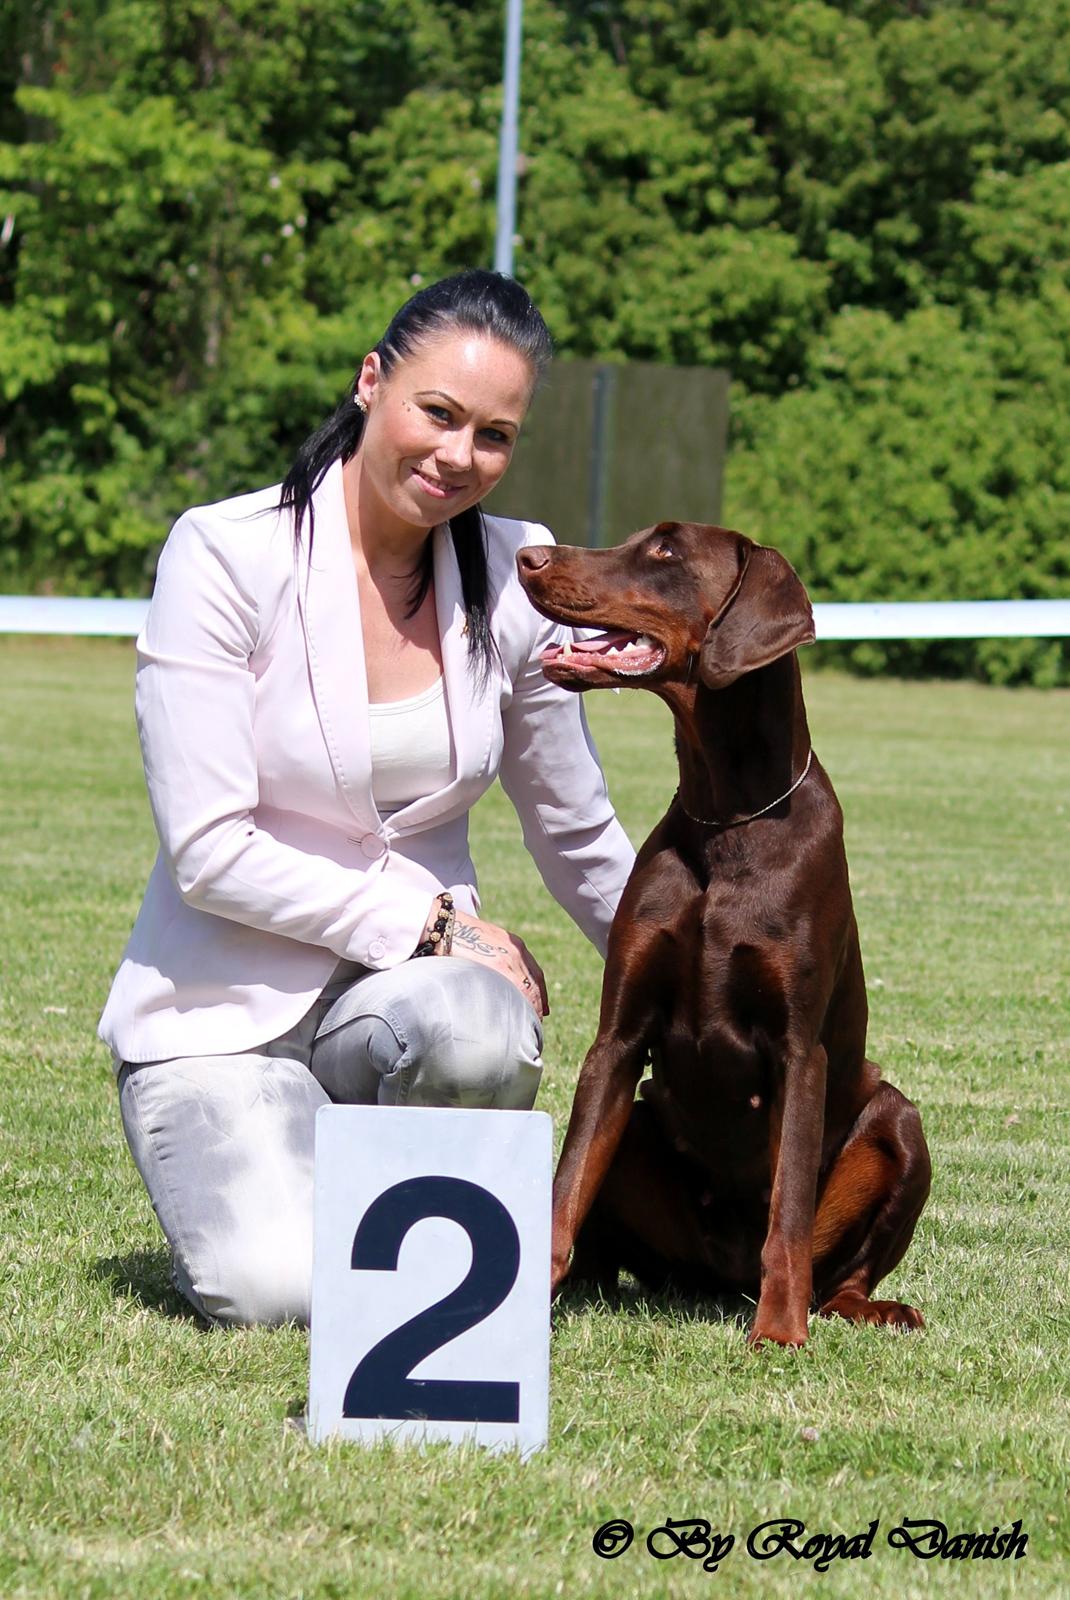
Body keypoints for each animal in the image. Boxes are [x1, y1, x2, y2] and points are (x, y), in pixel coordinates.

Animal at [515, 528, 927, 1350]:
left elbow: (788, 1210)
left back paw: (865, 1308)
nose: (529, 558)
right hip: (644, 1127)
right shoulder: (618, 1041)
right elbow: (565, 1188)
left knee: (843, 1270)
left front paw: (779, 1331)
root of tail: (718, 1282)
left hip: (899, 1122)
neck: (728, 818)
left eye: (666, 553)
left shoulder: (800, 1051)